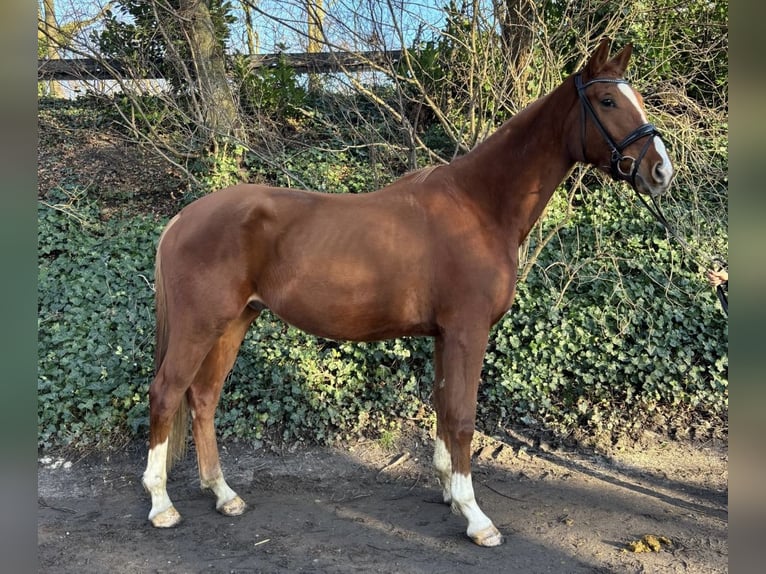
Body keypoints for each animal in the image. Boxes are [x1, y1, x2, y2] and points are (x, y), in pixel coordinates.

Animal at [142, 40, 672, 548]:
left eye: (636, 99)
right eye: (607, 101)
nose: (661, 170)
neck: (479, 206)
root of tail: (182, 219)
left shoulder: (443, 335)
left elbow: (441, 406)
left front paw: (449, 494)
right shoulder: (466, 331)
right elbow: (461, 416)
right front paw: (476, 518)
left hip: (234, 322)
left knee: (204, 397)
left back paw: (224, 494)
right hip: (201, 325)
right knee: (166, 393)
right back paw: (162, 505)